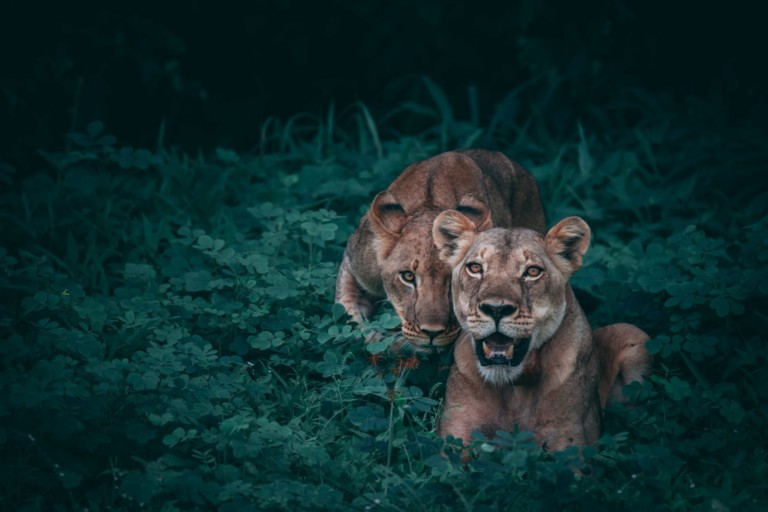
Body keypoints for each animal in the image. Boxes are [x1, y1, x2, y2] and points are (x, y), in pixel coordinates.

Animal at [432, 210, 651, 452]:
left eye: (532, 271)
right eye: (475, 268)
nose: (496, 309)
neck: (513, 387)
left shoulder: (569, 438)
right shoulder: (456, 432)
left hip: (634, 334)